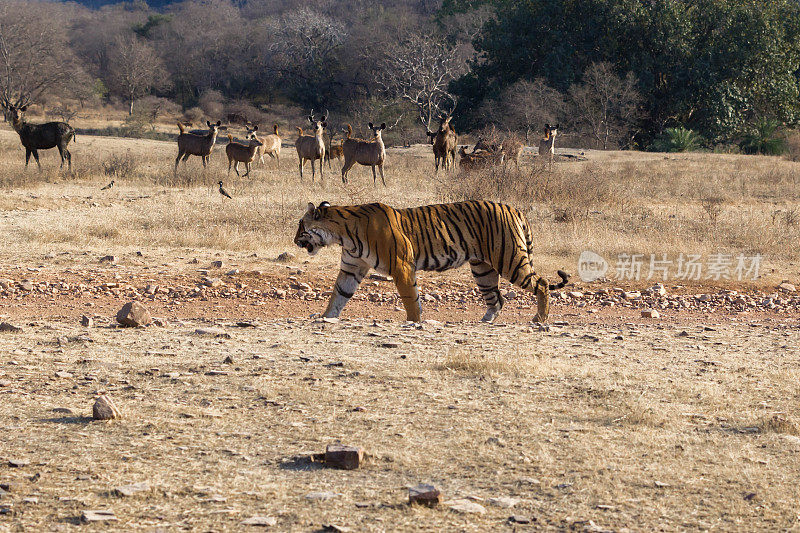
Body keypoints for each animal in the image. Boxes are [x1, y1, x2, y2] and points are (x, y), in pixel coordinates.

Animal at [294, 201, 568, 322]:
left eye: (301, 226)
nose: (295, 240)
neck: (343, 234)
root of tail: (514, 208)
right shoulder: (351, 268)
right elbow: (338, 295)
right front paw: (326, 317)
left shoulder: (402, 265)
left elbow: (410, 299)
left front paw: (415, 322)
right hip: (483, 269)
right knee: (497, 299)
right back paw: (485, 321)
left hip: (510, 259)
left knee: (542, 283)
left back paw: (540, 319)